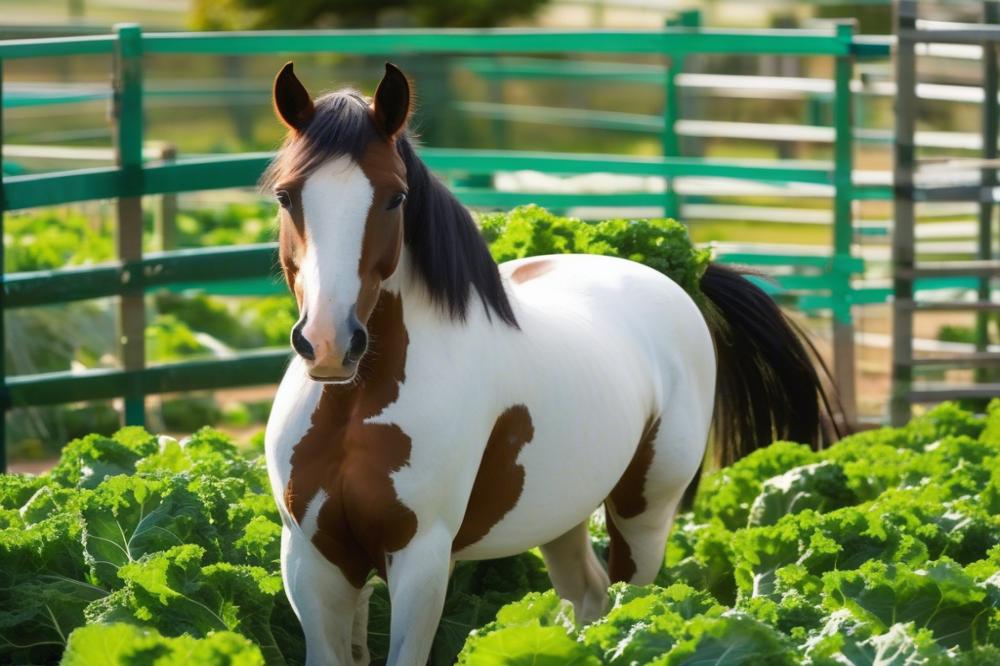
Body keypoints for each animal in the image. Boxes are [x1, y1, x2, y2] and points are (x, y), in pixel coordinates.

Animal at [260, 62, 836, 664]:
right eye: (286, 195)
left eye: (394, 198)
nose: (330, 342)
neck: (356, 409)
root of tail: (678, 283)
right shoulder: (313, 559)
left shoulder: (421, 560)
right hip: (562, 514)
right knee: (588, 594)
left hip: (644, 514)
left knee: (631, 600)